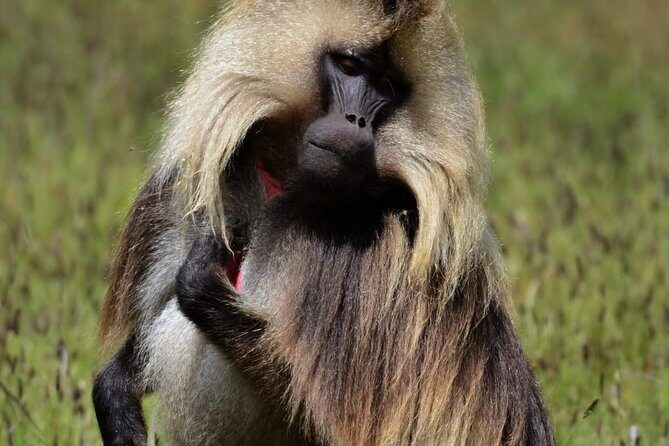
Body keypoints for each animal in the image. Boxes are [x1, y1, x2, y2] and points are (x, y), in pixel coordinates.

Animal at [92, 1, 555, 445]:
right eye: (349, 66)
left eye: (385, 87)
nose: (356, 121)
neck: (284, 191)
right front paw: (114, 390)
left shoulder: (370, 259)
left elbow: (337, 416)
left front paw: (203, 287)